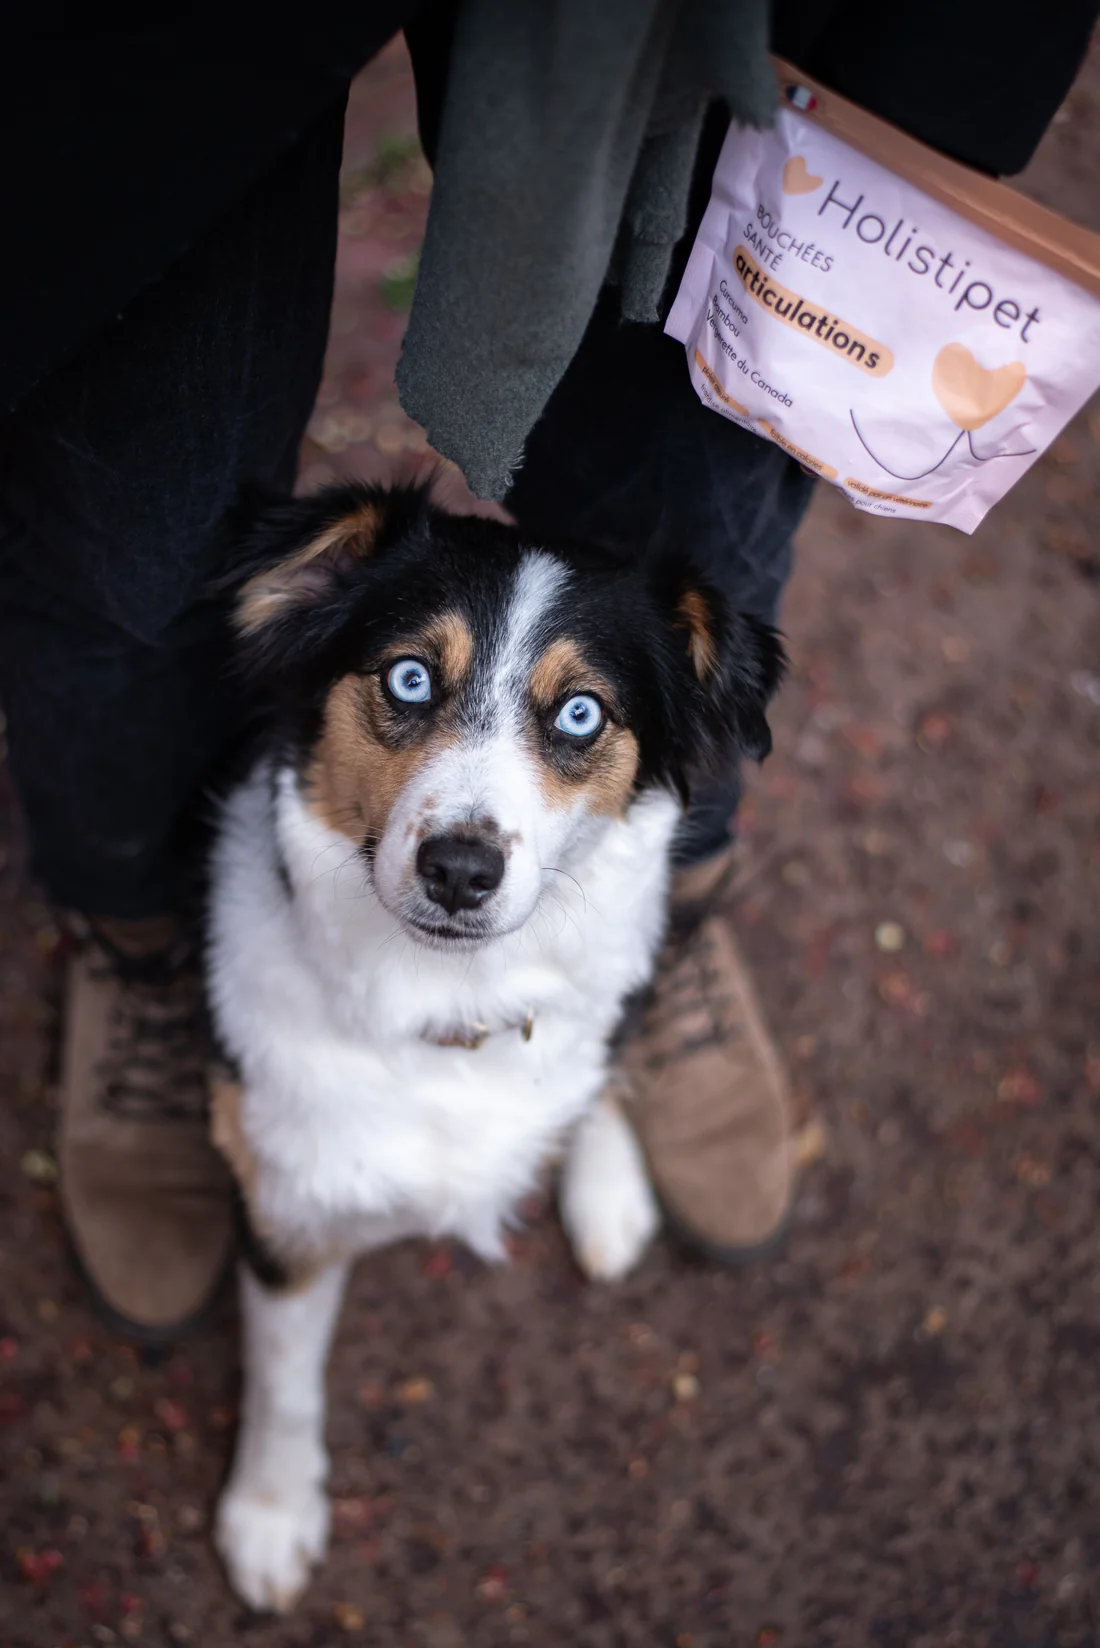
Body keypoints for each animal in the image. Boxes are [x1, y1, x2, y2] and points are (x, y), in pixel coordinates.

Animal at [208, 481, 781, 1608]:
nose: (461, 869)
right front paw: (271, 1516)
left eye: (580, 713)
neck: (449, 1010)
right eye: (409, 677)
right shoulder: (287, 1196)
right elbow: (285, 1381)